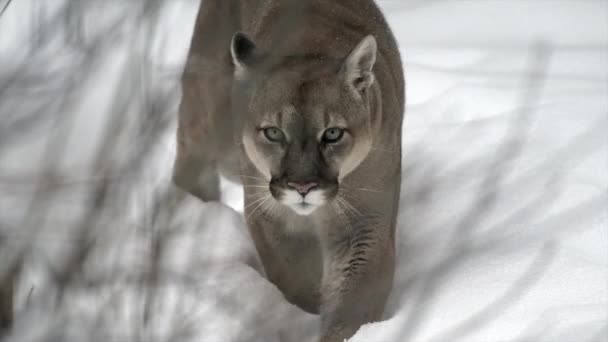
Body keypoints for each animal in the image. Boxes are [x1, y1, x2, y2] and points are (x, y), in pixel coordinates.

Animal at [175, 1, 404, 340]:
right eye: (273, 132)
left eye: (332, 134)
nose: (302, 186)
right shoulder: (272, 216)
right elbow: (294, 279)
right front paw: (303, 315)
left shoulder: (364, 222)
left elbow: (354, 302)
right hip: (211, 117)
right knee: (192, 155)